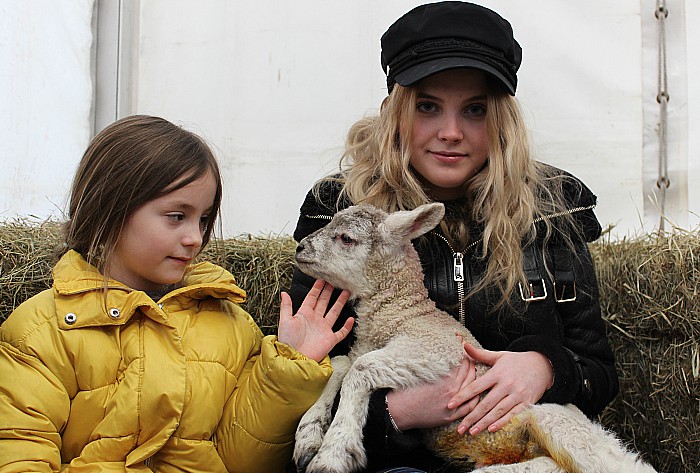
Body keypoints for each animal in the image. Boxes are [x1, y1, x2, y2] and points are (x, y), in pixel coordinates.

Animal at [290, 202, 656, 472]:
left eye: (346, 238)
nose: (300, 248)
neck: (403, 314)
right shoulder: (364, 347)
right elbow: (339, 364)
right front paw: (308, 437)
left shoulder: (435, 350)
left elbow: (361, 369)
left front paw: (334, 451)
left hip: (563, 426)